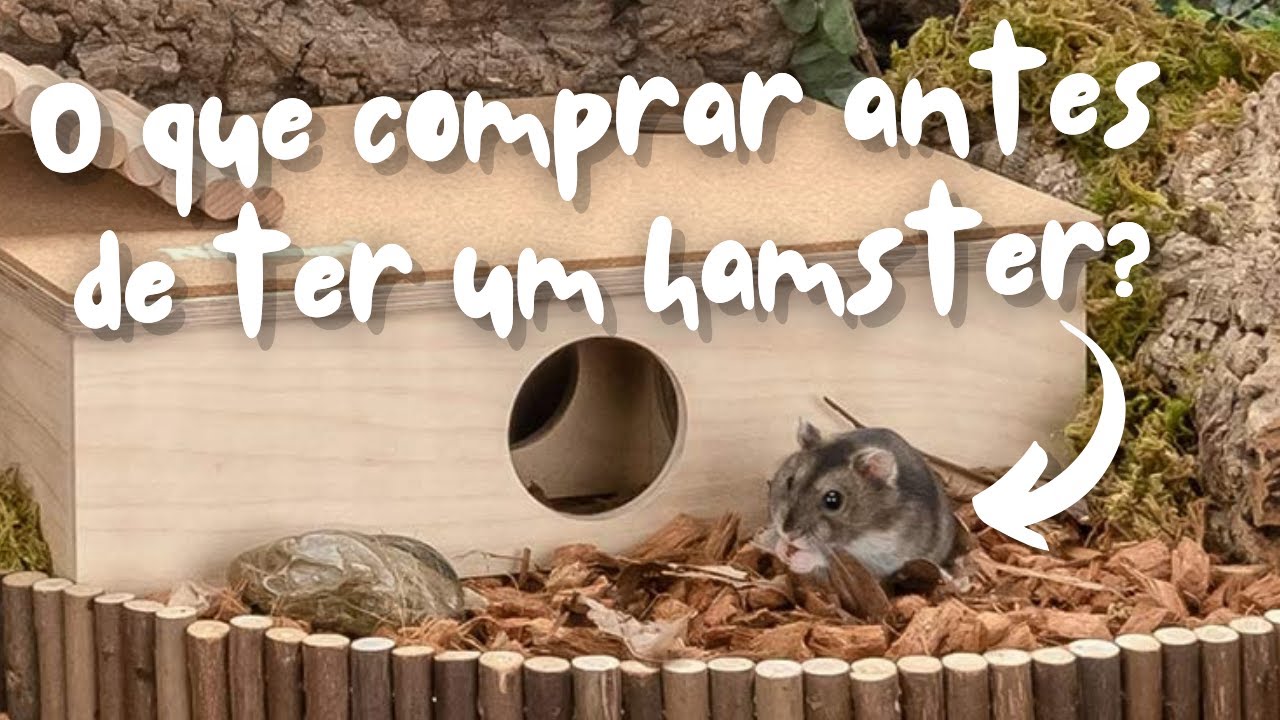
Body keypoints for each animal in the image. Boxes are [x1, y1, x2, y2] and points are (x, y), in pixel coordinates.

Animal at [765, 420, 957, 580]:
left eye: (833, 500)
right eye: (790, 481)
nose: (788, 535)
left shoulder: (880, 555)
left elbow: (828, 556)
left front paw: (798, 561)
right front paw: (781, 549)